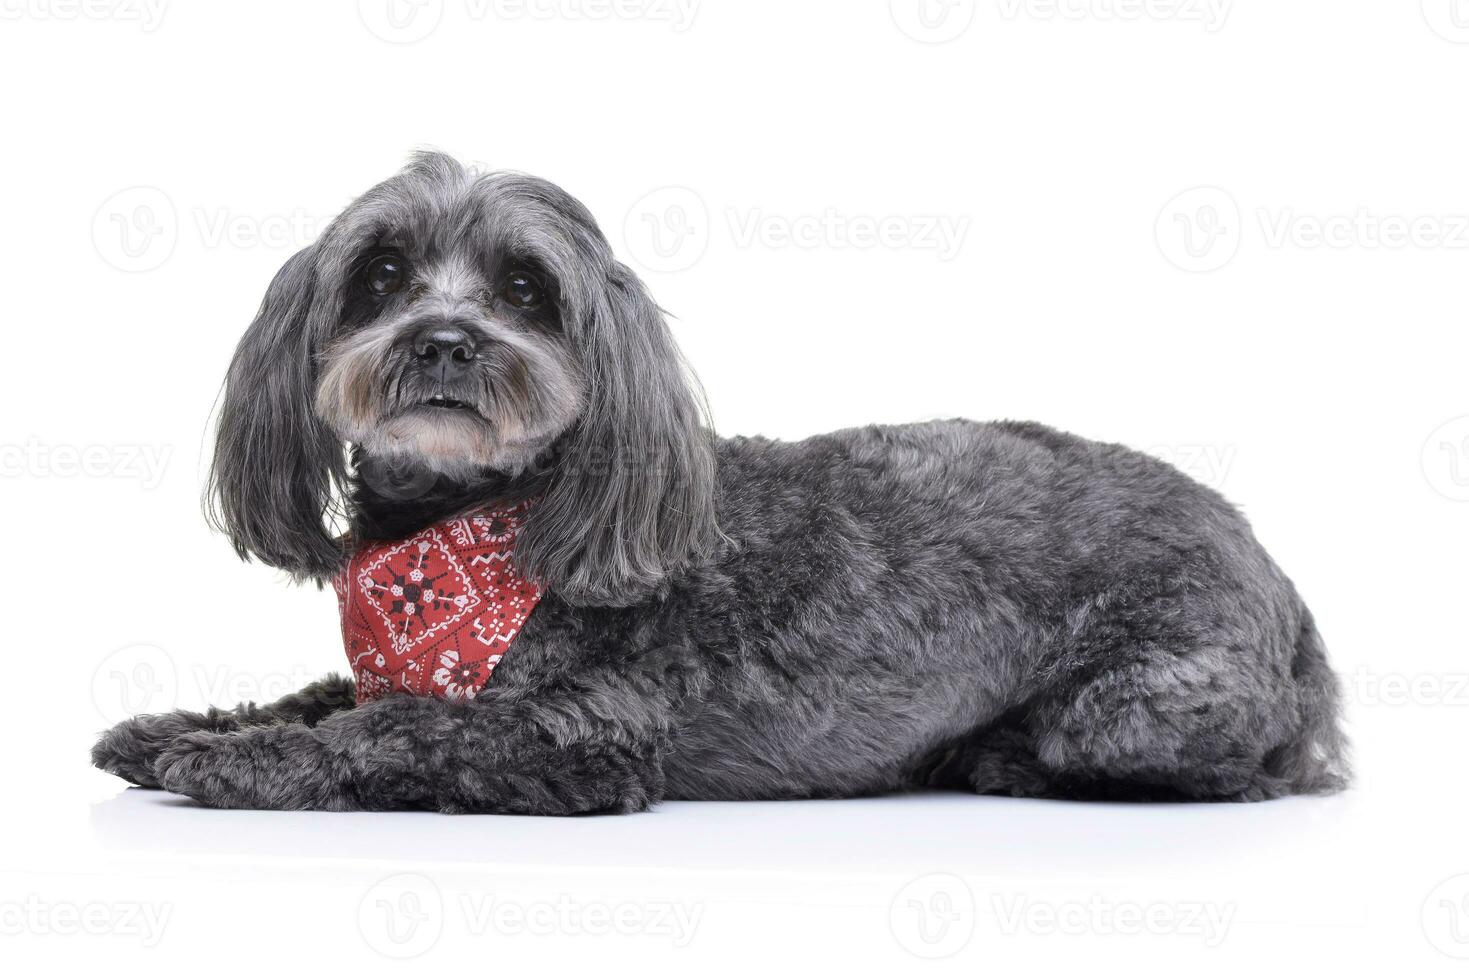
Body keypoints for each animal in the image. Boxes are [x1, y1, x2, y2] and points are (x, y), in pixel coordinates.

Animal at [88, 153, 1351, 811]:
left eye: (524, 288)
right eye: (383, 272)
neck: (467, 527)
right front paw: (179, 724)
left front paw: (238, 760)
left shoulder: (582, 733)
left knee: (1233, 772)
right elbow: (321, 692)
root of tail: (1284, 587)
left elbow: (392, 726)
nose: (444, 341)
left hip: (1139, 697)